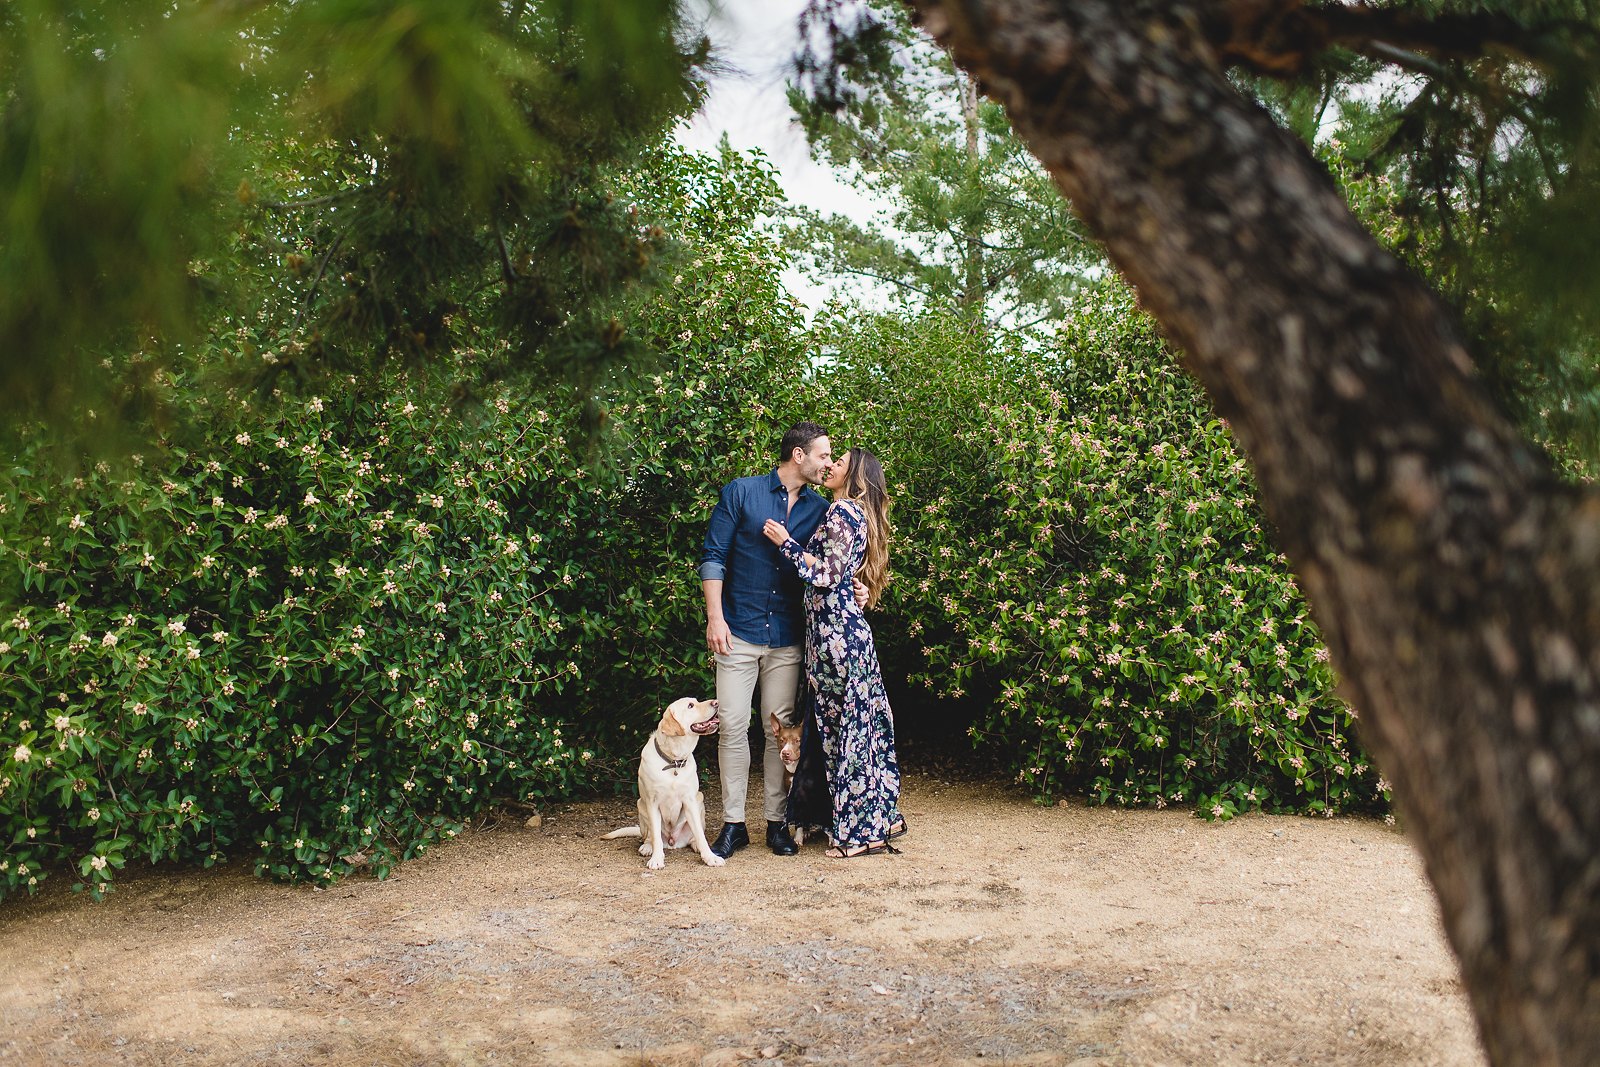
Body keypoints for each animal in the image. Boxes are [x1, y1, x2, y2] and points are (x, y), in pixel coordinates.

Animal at [601, 697, 726, 870]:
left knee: (694, 835)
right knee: (649, 837)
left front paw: (710, 857)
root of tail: (673, 842)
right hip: (641, 806)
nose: (716, 702)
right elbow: (656, 838)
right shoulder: (652, 803)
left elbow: (701, 835)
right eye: (690, 705)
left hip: (699, 801)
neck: (674, 762)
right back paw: (647, 847)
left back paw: (695, 845)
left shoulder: (690, 801)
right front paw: (656, 859)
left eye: (695, 701)